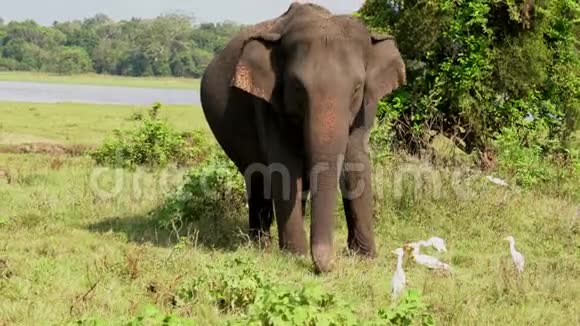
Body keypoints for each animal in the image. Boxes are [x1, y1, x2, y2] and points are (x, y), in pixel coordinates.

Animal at [202, 2, 406, 272]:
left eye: (356, 89)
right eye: (298, 87)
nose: (327, 265)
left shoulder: (366, 106)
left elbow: (356, 162)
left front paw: (365, 257)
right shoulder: (268, 104)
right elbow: (285, 167)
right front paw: (294, 255)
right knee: (256, 177)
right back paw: (260, 246)